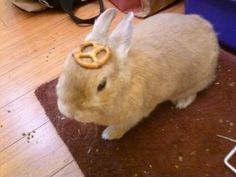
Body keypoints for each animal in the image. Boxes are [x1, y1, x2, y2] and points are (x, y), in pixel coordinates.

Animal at [56, 8, 219, 140]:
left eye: (101, 85)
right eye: (65, 68)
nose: (69, 112)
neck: (126, 83)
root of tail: (211, 31)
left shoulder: (135, 116)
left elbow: (122, 126)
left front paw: (108, 135)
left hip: (193, 83)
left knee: (193, 93)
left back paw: (182, 103)